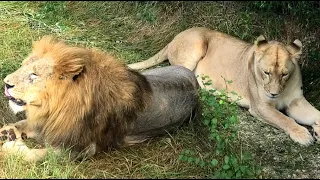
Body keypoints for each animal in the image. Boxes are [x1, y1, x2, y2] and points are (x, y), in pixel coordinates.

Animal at [0, 36, 200, 162]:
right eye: (23, 66)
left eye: (34, 75)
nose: (6, 83)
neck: (54, 106)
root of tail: (194, 80)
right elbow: (24, 123)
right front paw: (9, 131)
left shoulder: (81, 149)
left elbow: (40, 155)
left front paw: (11, 148)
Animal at [129, 26, 320, 146]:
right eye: (266, 73)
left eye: (284, 74)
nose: (273, 94)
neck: (283, 89)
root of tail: (176, 36)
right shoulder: (260, 106)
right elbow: (283, 119)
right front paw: (303, 134)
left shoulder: (297, 102)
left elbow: (315, 113)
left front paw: (317, 130)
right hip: (196, 46)